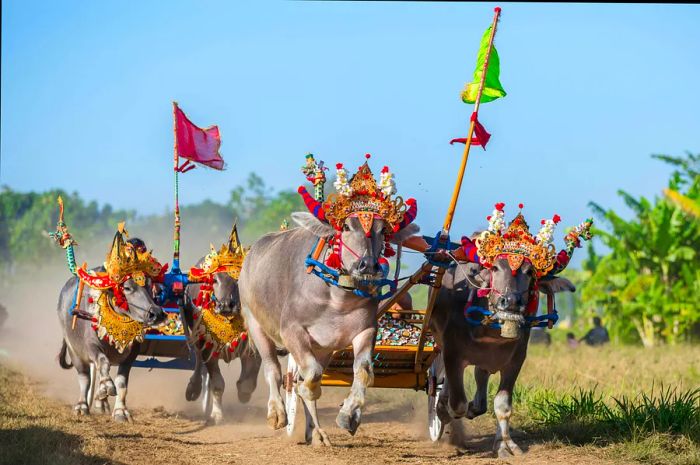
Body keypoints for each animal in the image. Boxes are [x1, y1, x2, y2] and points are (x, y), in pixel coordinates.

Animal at [183, 258, 262, 424]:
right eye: (215, 280)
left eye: (238, 279)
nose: (225, 305)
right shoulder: (208, 349)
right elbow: (218, 384)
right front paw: (217, 414)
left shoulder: (253, 349)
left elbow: (247, 384)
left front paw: (243, 395)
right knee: (198, 360)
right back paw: (193, 388)